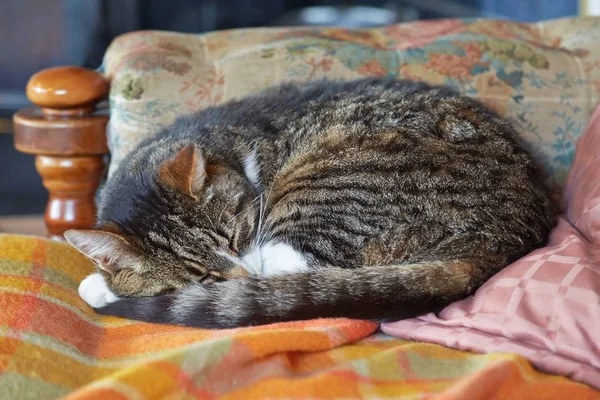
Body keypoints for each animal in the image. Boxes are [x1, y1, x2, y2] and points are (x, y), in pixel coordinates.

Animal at [63, 78, 556, 328]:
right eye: (202, 275)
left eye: (237, 235)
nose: (238, 275)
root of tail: (511, 231)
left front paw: (102, 287)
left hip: (331, 190)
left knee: (292, 275)